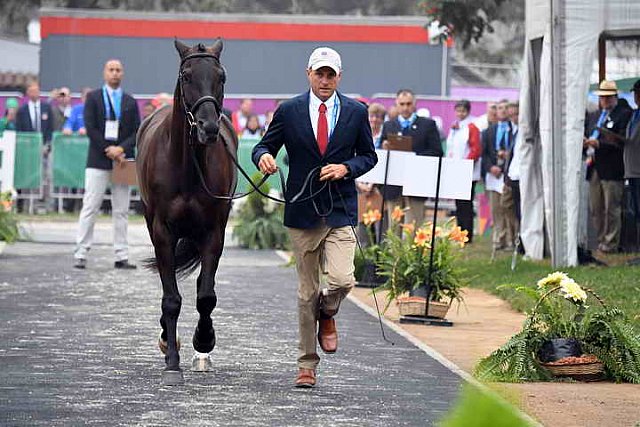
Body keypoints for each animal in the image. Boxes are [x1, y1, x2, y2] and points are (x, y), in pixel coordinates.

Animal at [136, 39, 236, 384]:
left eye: (221, 76)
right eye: (187, 76)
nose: (208, 128)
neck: (187, 166)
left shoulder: (213, 232)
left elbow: (206, 295)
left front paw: (203, 341)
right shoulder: (163, 231)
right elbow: (171, 298)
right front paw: (171, 360)